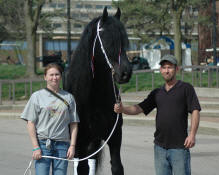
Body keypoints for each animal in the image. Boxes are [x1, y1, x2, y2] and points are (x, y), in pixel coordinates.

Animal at [63, 7, 132, 175]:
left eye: (124, 41)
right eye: (108, 40)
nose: (125, 73)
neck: (93, 97)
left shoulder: (115, 137)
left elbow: (117, 167)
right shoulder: (79, 143)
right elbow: (81, 168)